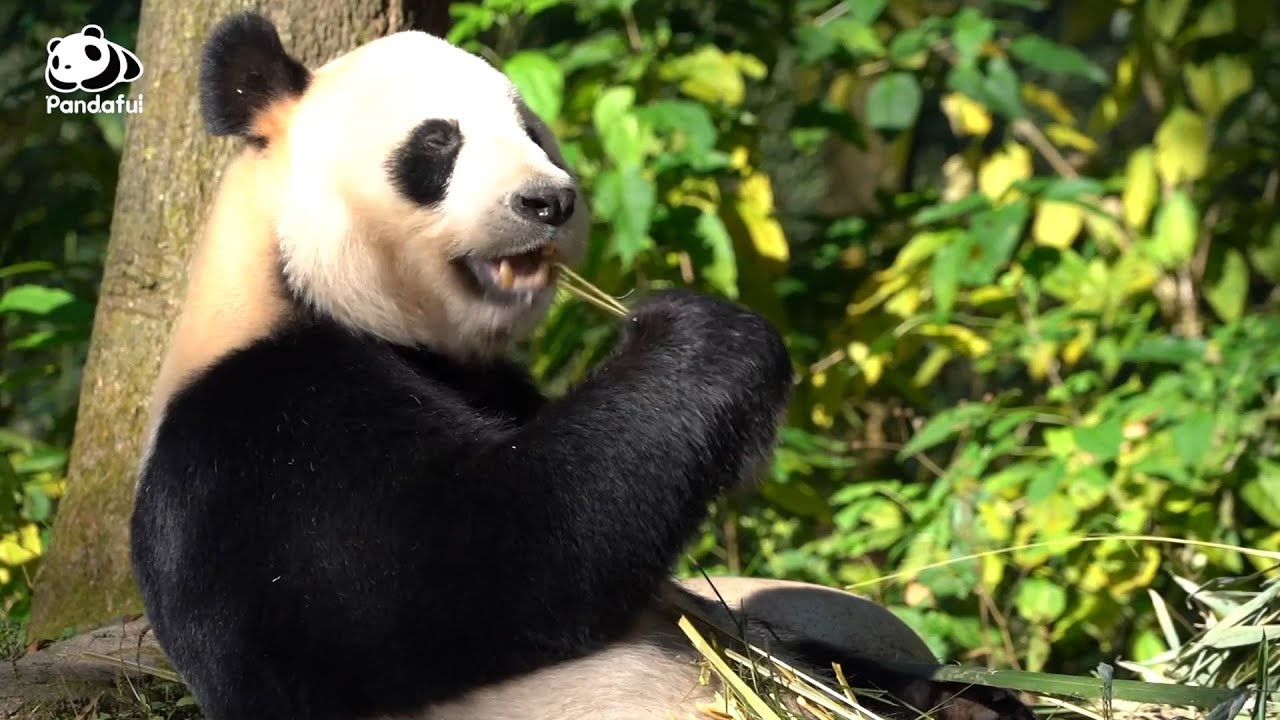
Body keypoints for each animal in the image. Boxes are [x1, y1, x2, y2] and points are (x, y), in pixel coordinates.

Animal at [129, 12, 1035, 720]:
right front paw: (700, 334)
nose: (549, 202)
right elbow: (486, 557)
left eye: (534, 132)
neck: (300, 287)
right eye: (438, 144)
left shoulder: (489, 383)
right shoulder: (262, 437)